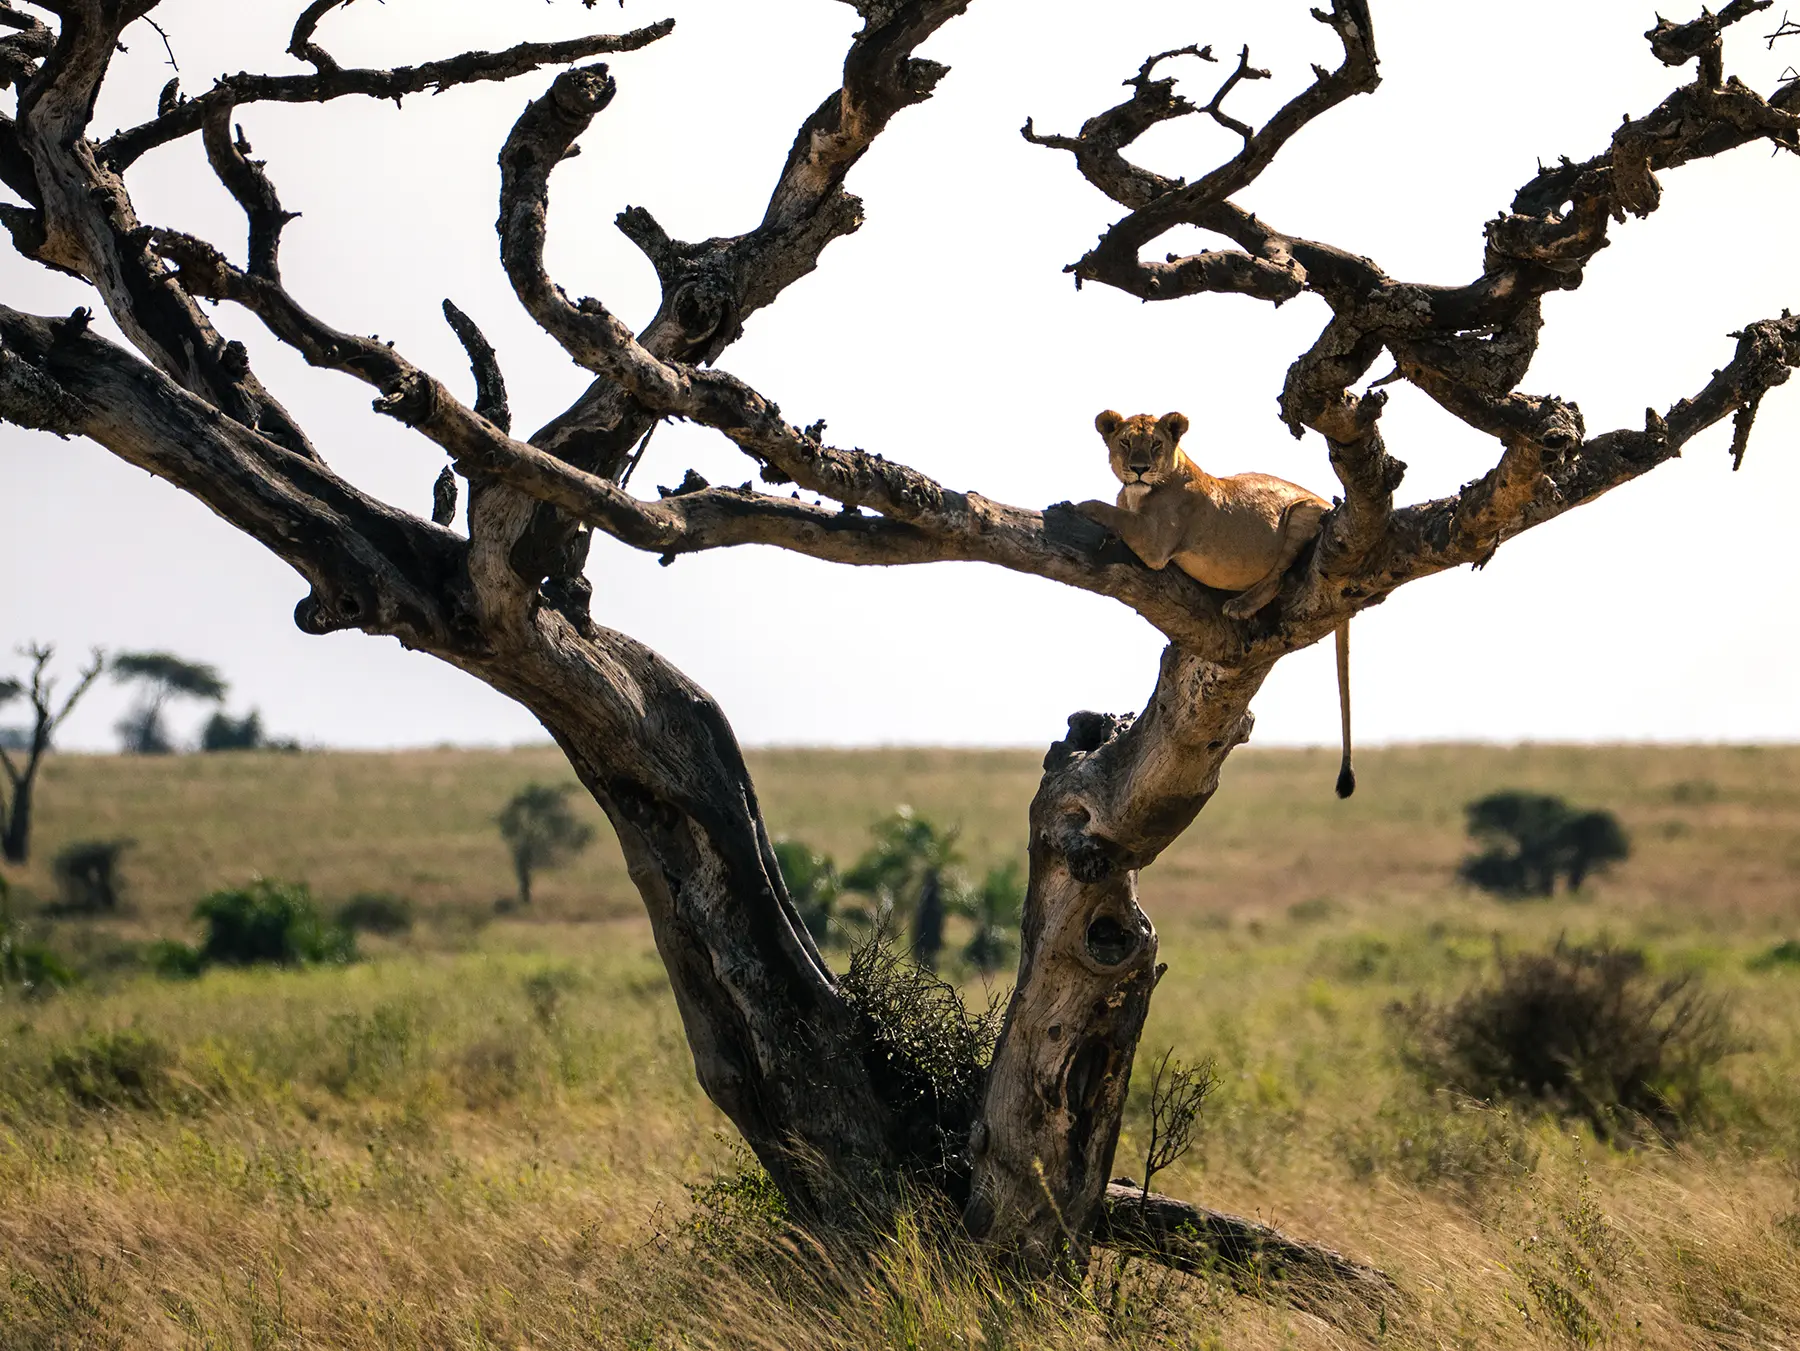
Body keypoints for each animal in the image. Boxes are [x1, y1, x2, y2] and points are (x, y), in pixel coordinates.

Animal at [1076, 410, 1355, 798]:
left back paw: (1241, 604)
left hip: (1303, 511)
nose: (1139, 468)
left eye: (1155, 444)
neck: (1136, 493)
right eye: (1126, 442)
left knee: (1280, 574)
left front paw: (1079, 504)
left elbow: (1107, 511)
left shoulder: (1154, 543)